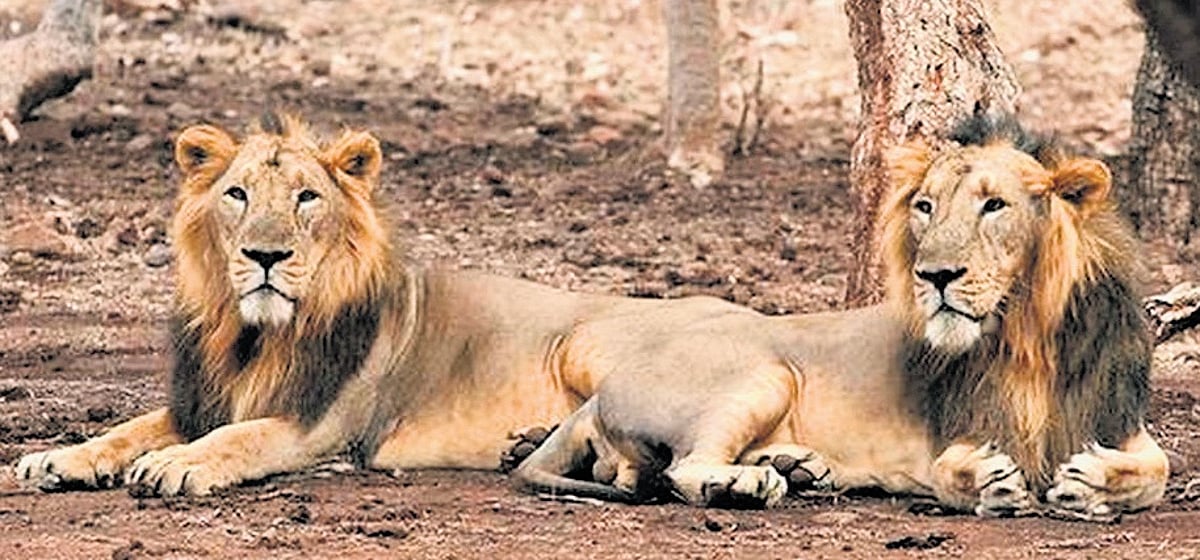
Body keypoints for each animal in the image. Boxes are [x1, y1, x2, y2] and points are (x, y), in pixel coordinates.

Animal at [14, 112, 756, 496]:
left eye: (307, 197)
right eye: (237, 194)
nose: (265, 255)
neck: (255, 336)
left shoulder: (323, 424)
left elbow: (240, 438)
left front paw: (177, 465)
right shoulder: (202, 399)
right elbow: (131, 428)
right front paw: (61, 457)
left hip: (589, 344)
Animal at [511, 115, 1169, 520]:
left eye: (994, 205)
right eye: (925, 207)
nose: (935, 276)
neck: (1026, 335)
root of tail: (605, 391)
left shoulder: (1118, 418)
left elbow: (1157, 468)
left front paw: (1095, 480)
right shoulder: (945, 439)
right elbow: (952, 470)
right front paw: (990, 483)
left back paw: (793, 466)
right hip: (763, 373)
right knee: (682, 469)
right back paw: (747, 483)